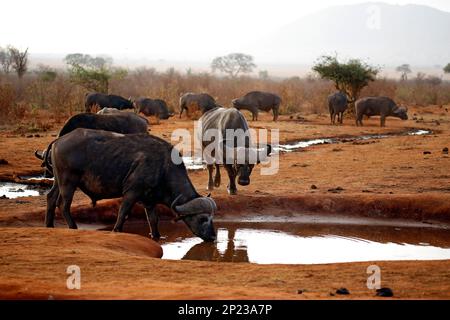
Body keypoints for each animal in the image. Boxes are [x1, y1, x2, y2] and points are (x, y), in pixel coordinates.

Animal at [45, 129, 216, 241]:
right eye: (202, 219)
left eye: (212, 218)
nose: (214, 236)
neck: (164, 167)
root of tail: (59, 140)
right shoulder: (131, 193)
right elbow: (123, 213)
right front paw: (117, 230)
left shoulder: (150, 201)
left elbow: (153, 220)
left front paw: (156, 236)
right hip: (68, 182)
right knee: (63, 204)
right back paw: (73, 226)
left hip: (58, 182)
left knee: (51, 198)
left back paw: (49, 225)